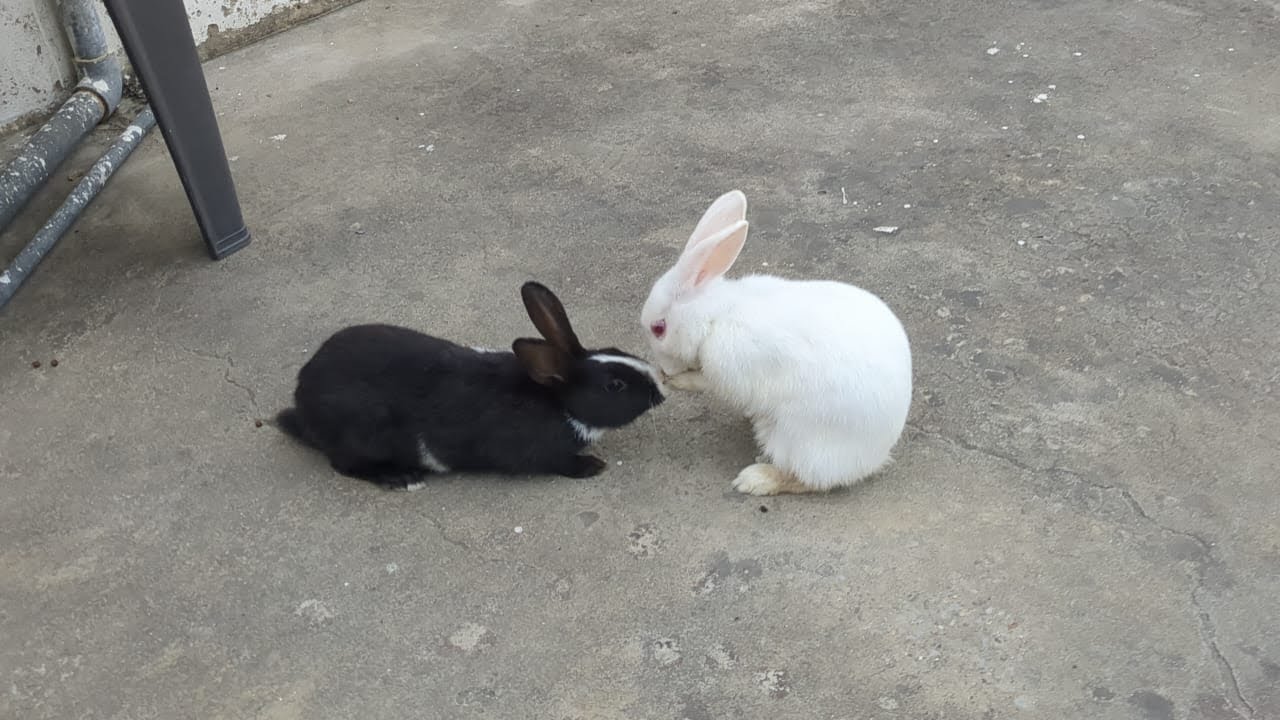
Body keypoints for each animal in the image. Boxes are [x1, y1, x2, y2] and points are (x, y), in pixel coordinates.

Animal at [277, 281, 666, 490]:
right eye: (615, 385)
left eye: (618, 351)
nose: (660, 391)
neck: (559, 403)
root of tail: (301, 403)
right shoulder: (539, 453)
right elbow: (559, 463)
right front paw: (591, 467)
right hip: (361, 436)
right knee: (343, 465)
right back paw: (402, 478)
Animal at [640, 190, 912, 496]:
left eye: (659, 328)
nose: (663, 371)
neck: (716, 317)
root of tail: (876, 456)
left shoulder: (728, 370)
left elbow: (704, 382)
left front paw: (676, 381)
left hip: (798, 441)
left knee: (805, 479)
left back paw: (755, 479)